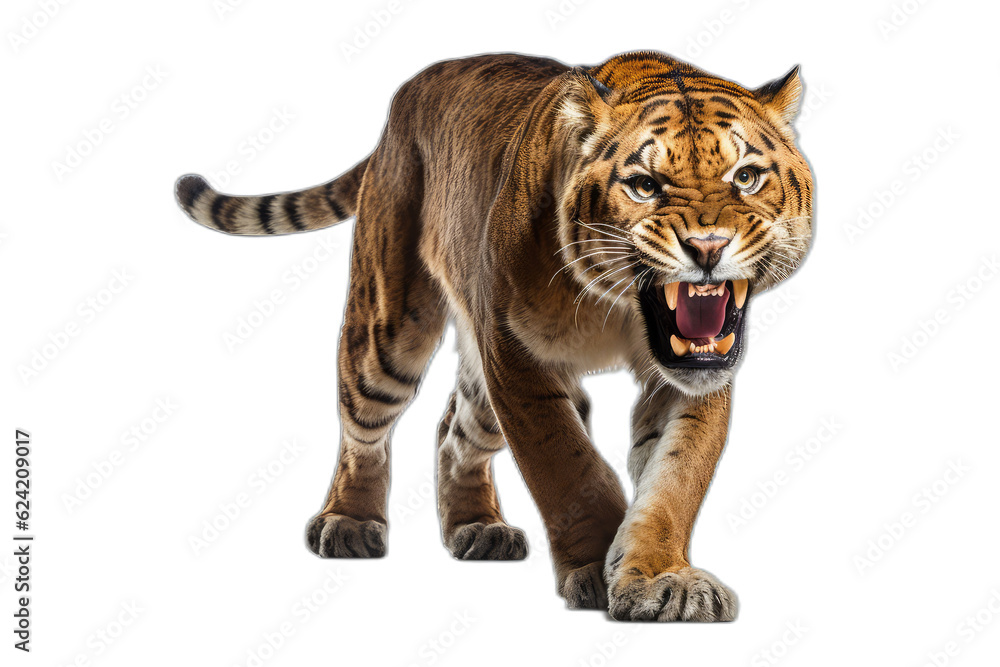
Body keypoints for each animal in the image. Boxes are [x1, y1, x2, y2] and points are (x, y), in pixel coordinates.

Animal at [174, 51, 813, 622]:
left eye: (746, 177)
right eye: (644, 185)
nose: (707, 248)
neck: (619, 309)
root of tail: (405, 97)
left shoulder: (689, 378)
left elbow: (673, 482)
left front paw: (662, 580)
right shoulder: (517, 358)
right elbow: (570, 472)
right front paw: (595, 570)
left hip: (480, 382)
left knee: (453, 431)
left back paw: (478, 528)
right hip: (389, 334)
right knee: (363, 427)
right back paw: (349, 523)